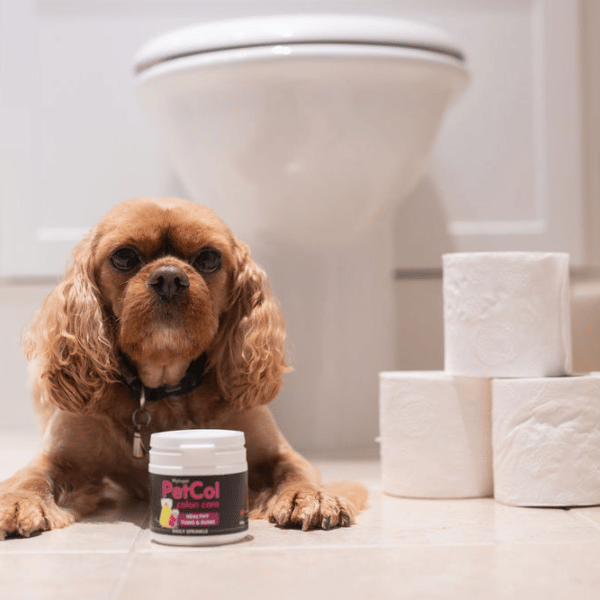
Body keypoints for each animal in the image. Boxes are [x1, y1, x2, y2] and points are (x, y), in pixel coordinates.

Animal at [0, 198, 366, 540]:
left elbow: (296, 471)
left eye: (208, 258)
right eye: (124, 256)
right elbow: (31, 477)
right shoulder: (61, 458)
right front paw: (16, 503)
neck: (163, 387)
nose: (168, 277)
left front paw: (312, 497)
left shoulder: (276, 451)